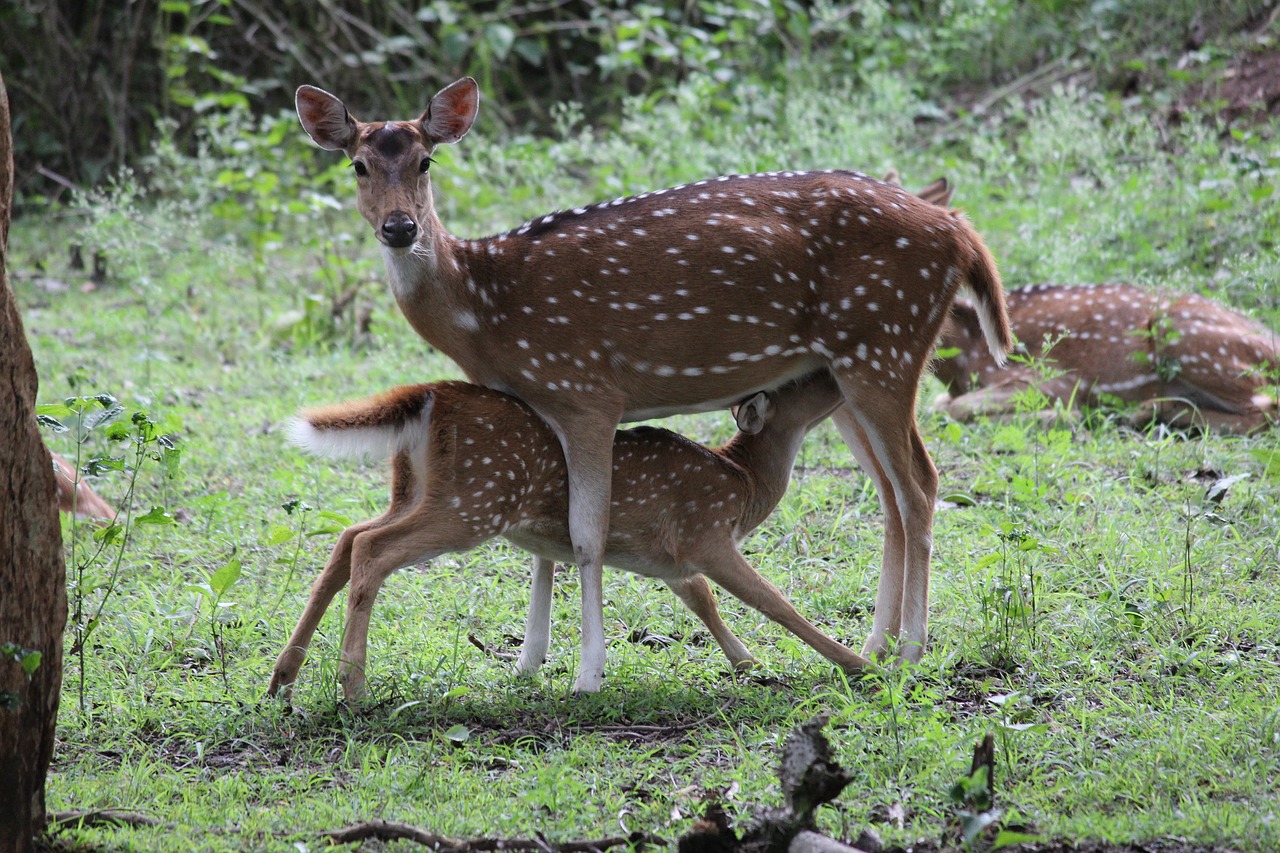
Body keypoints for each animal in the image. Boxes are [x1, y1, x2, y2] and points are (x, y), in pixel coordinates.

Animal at [268, 371, 870, 696]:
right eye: (797, 387)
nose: (834, 374)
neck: (743, 486)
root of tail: (429, 395)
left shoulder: (673, 559)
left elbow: (702, 600)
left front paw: (748, 664)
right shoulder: (705, 532)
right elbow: (774, 601)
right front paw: (858, 664)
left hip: (413, 491)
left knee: (348, 536)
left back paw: (284, 676)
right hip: (476, 500)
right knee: (371, 548)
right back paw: (352, 687)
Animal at [931, 281, 1280, 432]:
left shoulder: (1049, 379)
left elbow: (957, 408)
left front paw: (1061, 416)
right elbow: (942, 404)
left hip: (1185, 334)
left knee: (1265, 410)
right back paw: (1148, 412)